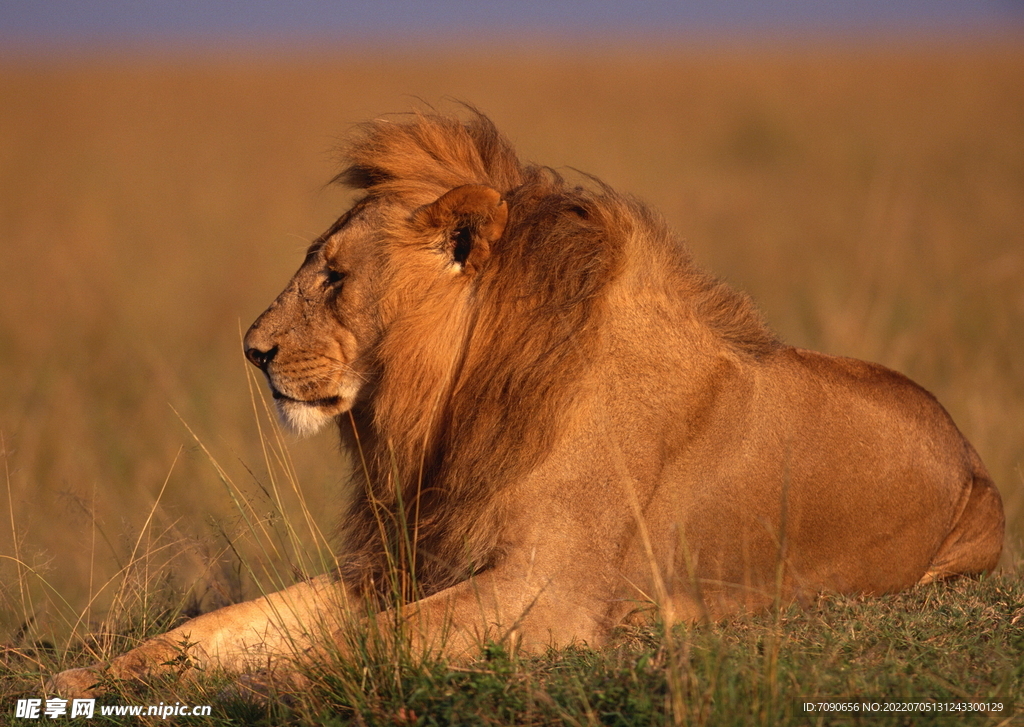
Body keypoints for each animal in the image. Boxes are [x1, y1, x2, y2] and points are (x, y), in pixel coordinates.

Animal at [48, 111, 999, 696]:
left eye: (335, 276)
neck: (455, 404)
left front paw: (263, 687)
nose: (254, 350)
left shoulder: (548, 593)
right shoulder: (403, 563)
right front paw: (90, 677)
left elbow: (356, 644)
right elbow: (227, 624)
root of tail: (972, 456)